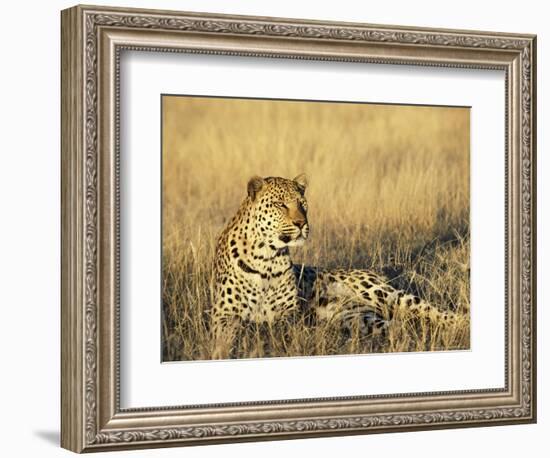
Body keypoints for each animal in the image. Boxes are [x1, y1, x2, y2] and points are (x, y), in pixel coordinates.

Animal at [211, 174, 466, 358]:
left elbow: (276, 327)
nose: (301, 223)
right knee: (400, 326)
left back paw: (462, 323)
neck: (267, 257)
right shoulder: (222, 315)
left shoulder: (290, 313)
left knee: (430, 310)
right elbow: (237, 329)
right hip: (359, 318)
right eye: (281, 205)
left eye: (302, 205)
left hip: (383, 294)